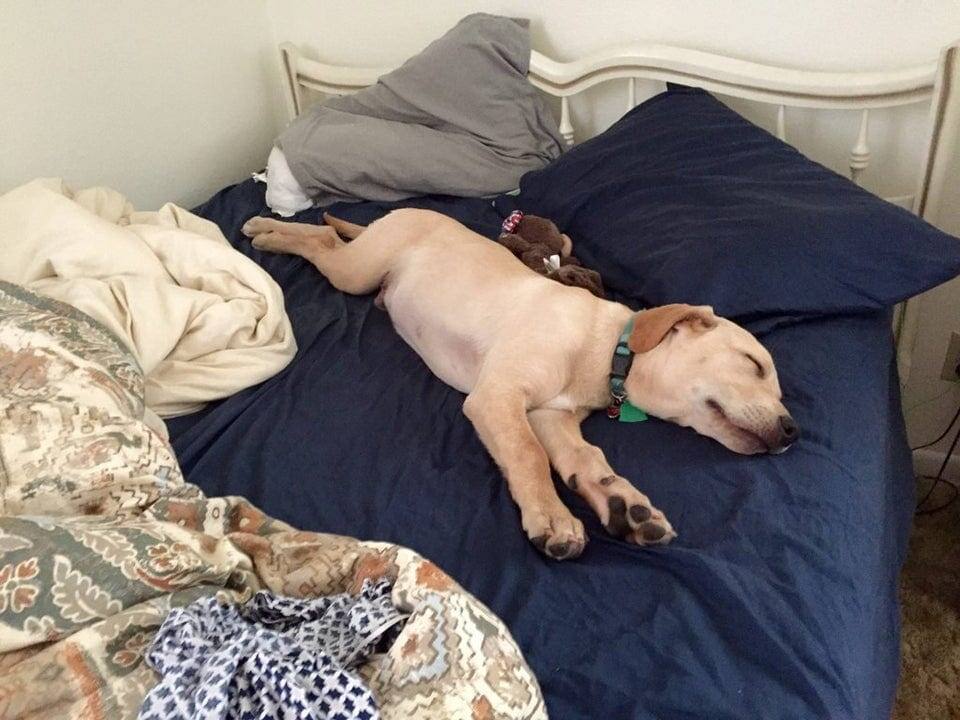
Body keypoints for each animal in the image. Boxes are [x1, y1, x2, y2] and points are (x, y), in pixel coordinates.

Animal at [242, 210, 798, 560]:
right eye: (753, 363)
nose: (793, 431)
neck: (605, 349)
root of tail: (404, 210)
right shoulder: (499, 398)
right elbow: (528, 455)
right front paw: (552, 519)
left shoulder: (551, 417)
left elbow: (585, 460)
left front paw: (625, 506)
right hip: (356, 270)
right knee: (323, 241)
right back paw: (268, 232)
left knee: (332, 238)